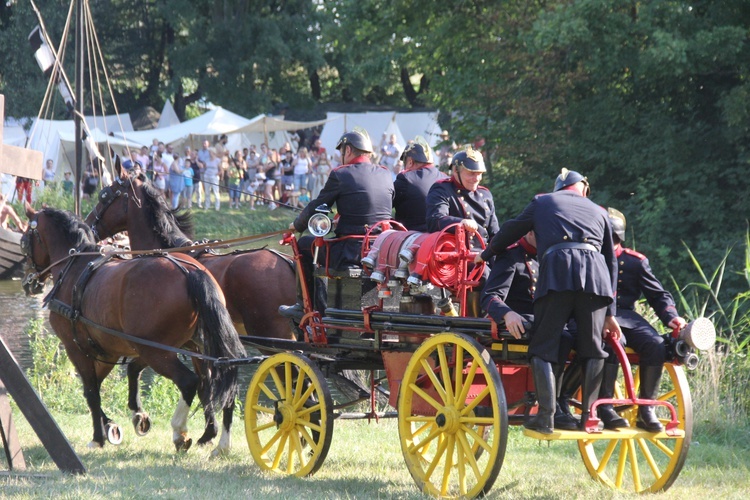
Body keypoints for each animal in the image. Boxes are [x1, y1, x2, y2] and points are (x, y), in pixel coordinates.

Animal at [22, 204, 245, 454]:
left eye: (25, 239)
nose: (28, 280)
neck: (74, 267)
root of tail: (190, 272)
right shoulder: (114, 350)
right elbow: (112, 379)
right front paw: (123, 421)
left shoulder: (77, 348)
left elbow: (91, 393)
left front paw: (99, 437)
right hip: (190, 347)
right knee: (222, 387)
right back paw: (221, 444)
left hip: (158, 352)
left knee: (189, 382)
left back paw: (180, 432)